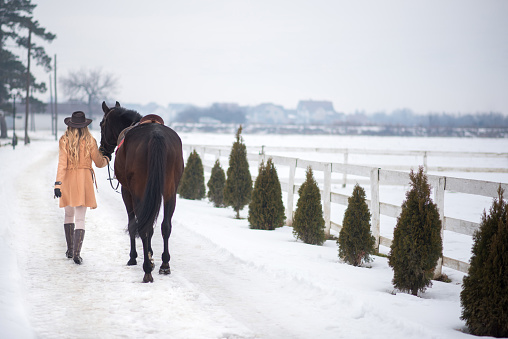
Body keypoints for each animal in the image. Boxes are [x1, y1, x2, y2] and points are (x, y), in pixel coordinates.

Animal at [98, 101, 184, 284]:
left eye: (102, 124)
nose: (102, 150)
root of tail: (156, 136)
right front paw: (151, 257)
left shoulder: (127, 192)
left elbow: (132, 224)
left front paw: (135, 257)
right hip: (170, 192)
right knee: (165, 226)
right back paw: (164, 264)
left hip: (138, 192)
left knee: (144, 228)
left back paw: (147, 270)